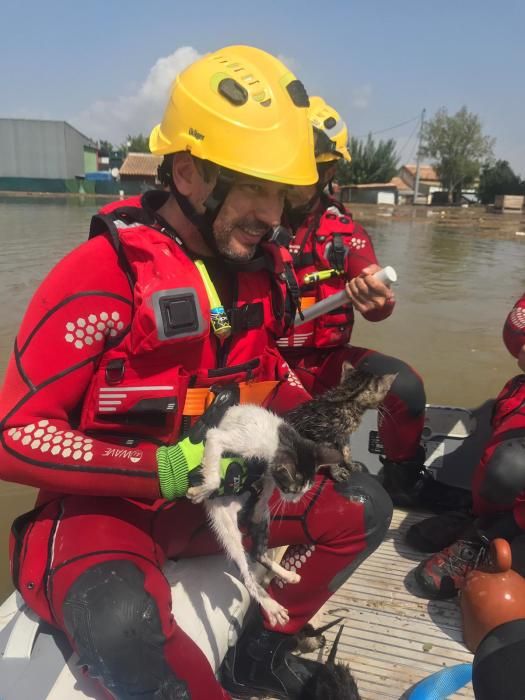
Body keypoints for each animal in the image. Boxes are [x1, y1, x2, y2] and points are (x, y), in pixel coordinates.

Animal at [186, 404, 338, 628]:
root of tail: (238, 510)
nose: (294, 501)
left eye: (304, 490)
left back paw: (287, 575)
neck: (280, 439)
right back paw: (272, 607)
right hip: (225, 526)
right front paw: (202, 490)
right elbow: (214, 474)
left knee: (258, 553)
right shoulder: (219, 437)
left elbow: (266, 484)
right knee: (248, 576)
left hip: (264, 520)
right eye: (292, 490)